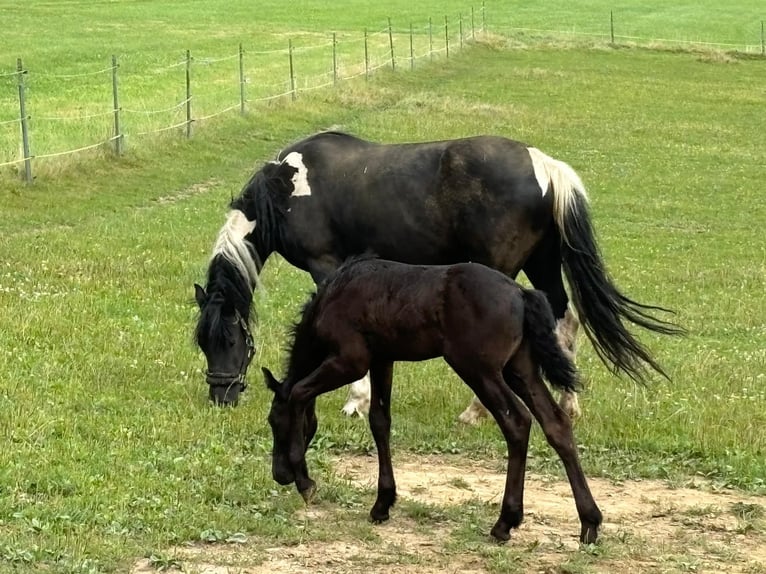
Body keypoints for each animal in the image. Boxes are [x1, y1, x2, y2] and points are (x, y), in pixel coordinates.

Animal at [194, 131, 684, 414]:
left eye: (229, 341)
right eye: (202, 343)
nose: (222, 398)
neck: (287, 188)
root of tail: (545, 165)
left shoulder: (327, 267)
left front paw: (355, 400)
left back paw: (478, 411)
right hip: (543, 263)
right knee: (566, 320)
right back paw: (568, 404)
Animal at [264, 258, 608, 548]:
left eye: (274, 422)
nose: (279, 475)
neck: (334, 296)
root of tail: (521, 294)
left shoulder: (350, 362)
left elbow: (299, 393)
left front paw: (305, 481)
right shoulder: (382, 360)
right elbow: (379, 421)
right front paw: (382, 503)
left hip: (479, 369)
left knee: (518, 423)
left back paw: (505, 522)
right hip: (520, 368)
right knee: (555, 422)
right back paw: (589, 522)